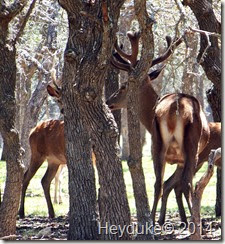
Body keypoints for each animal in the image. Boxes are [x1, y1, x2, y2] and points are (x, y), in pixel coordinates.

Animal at [106, 31, 220, 225]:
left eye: (123, 86)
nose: (108, 101)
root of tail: (176, 106)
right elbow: (177, 184)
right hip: (187, 147)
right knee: (179, 183)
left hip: (161, 145)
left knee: (162, 183)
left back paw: (155, 221)